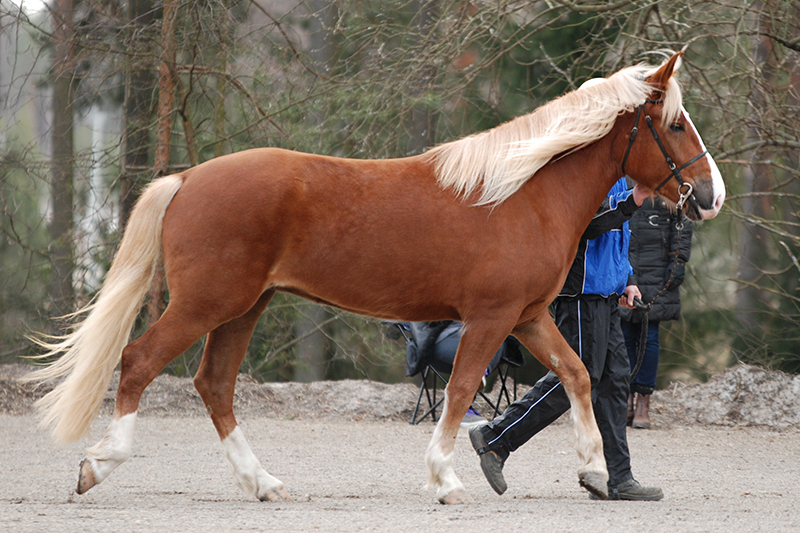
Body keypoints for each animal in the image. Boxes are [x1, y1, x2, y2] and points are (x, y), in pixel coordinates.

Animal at [24, 51, 724, 504]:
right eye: (673, 124)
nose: (711, 196)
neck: (522, 192)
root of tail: (189, 177)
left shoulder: (527, 317)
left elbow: (576, 377)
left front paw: (596, 474)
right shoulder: (491, 318)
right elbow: (462, 388)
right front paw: (446, 480)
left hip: (245, 307)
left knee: (214, 385)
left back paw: (263, 484)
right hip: (207, 304)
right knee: (139, 362)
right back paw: (98, 467)